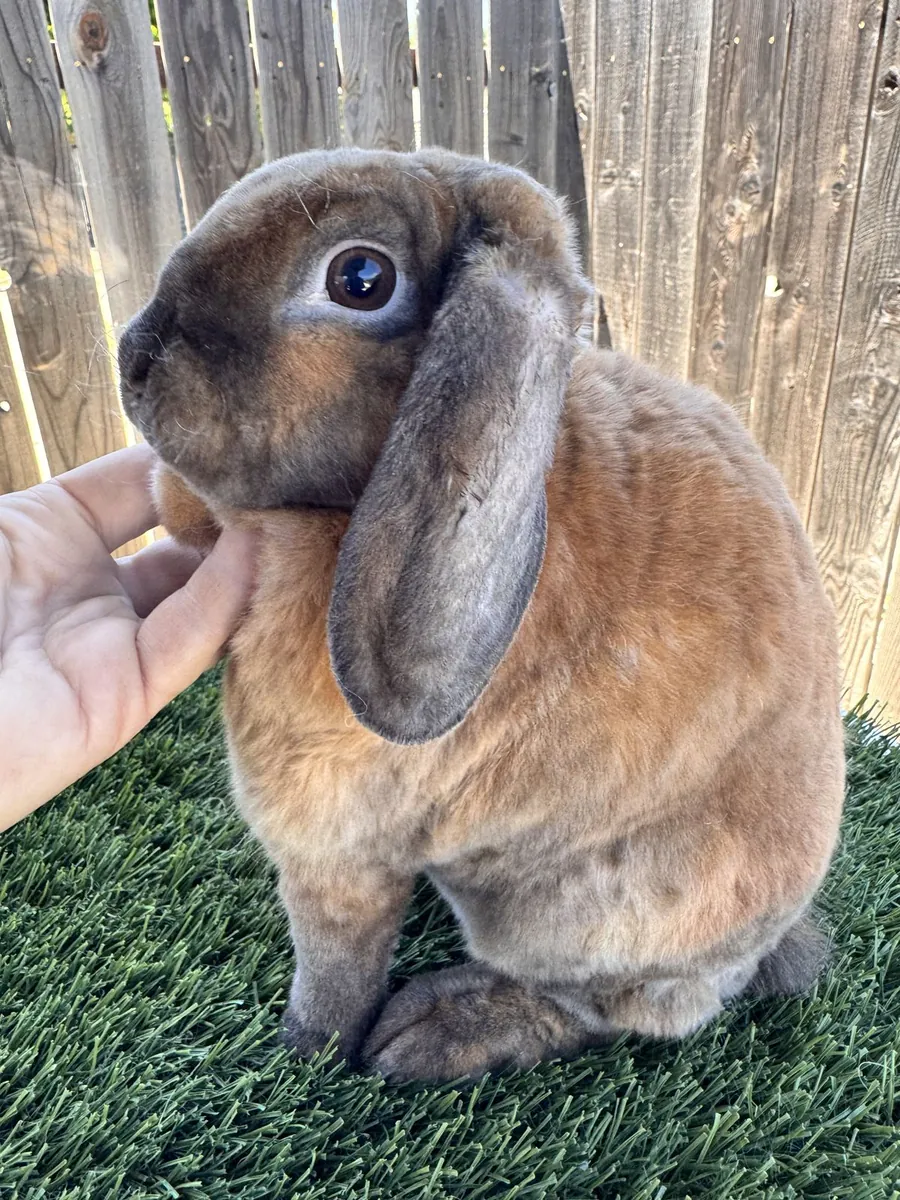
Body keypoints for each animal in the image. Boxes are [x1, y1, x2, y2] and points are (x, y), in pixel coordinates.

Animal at [119, 148, 845, 1082]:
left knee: (616, 1010)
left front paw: (308, 1056)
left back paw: (439, 1031)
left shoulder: (336, 851)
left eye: (361, 279)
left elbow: (336, 963)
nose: (133, 357)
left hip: (578, 918)